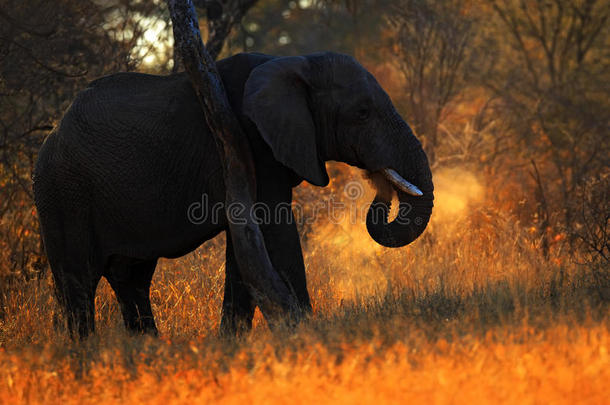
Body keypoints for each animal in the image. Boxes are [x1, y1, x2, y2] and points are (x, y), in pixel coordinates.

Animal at [32, 52, 432, 338]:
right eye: (362, 113)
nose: (380, 185)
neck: (294, 61)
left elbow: (245, 248)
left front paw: (232, 342)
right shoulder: (249, 140)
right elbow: (276, 232)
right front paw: (304, 334)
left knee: (132, 278)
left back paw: (147, 348)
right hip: (62, 193)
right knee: (79, 282)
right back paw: (86, 353)